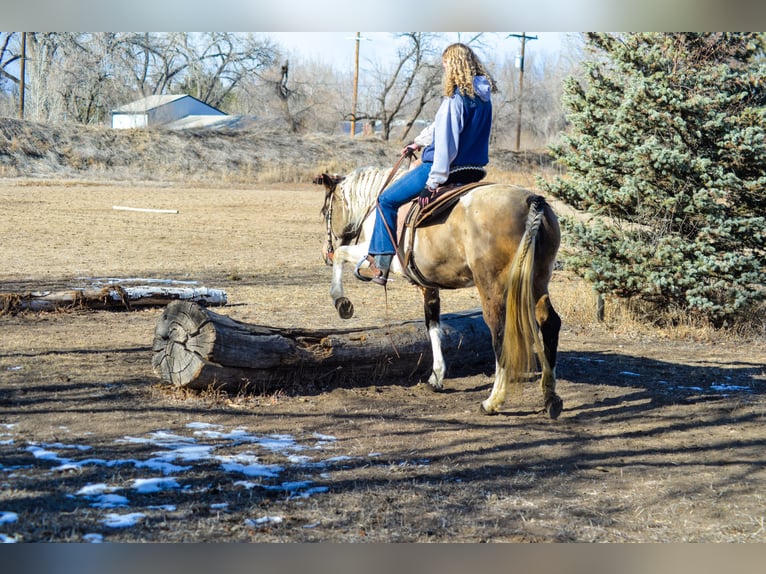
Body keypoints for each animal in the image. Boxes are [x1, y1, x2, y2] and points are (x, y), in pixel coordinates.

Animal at [316, 164, 564, 420]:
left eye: (325, 211)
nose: (325, 253)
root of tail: (530, 201)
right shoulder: (428, 284)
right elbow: (433, 325)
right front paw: (436, 376)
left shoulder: (372, 253)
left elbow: (342, 254)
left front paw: (341, 301)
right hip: (537, 280)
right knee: (550, 323)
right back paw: (550, 397)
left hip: (491, 286)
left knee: (500, 332)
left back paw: (493, 402)